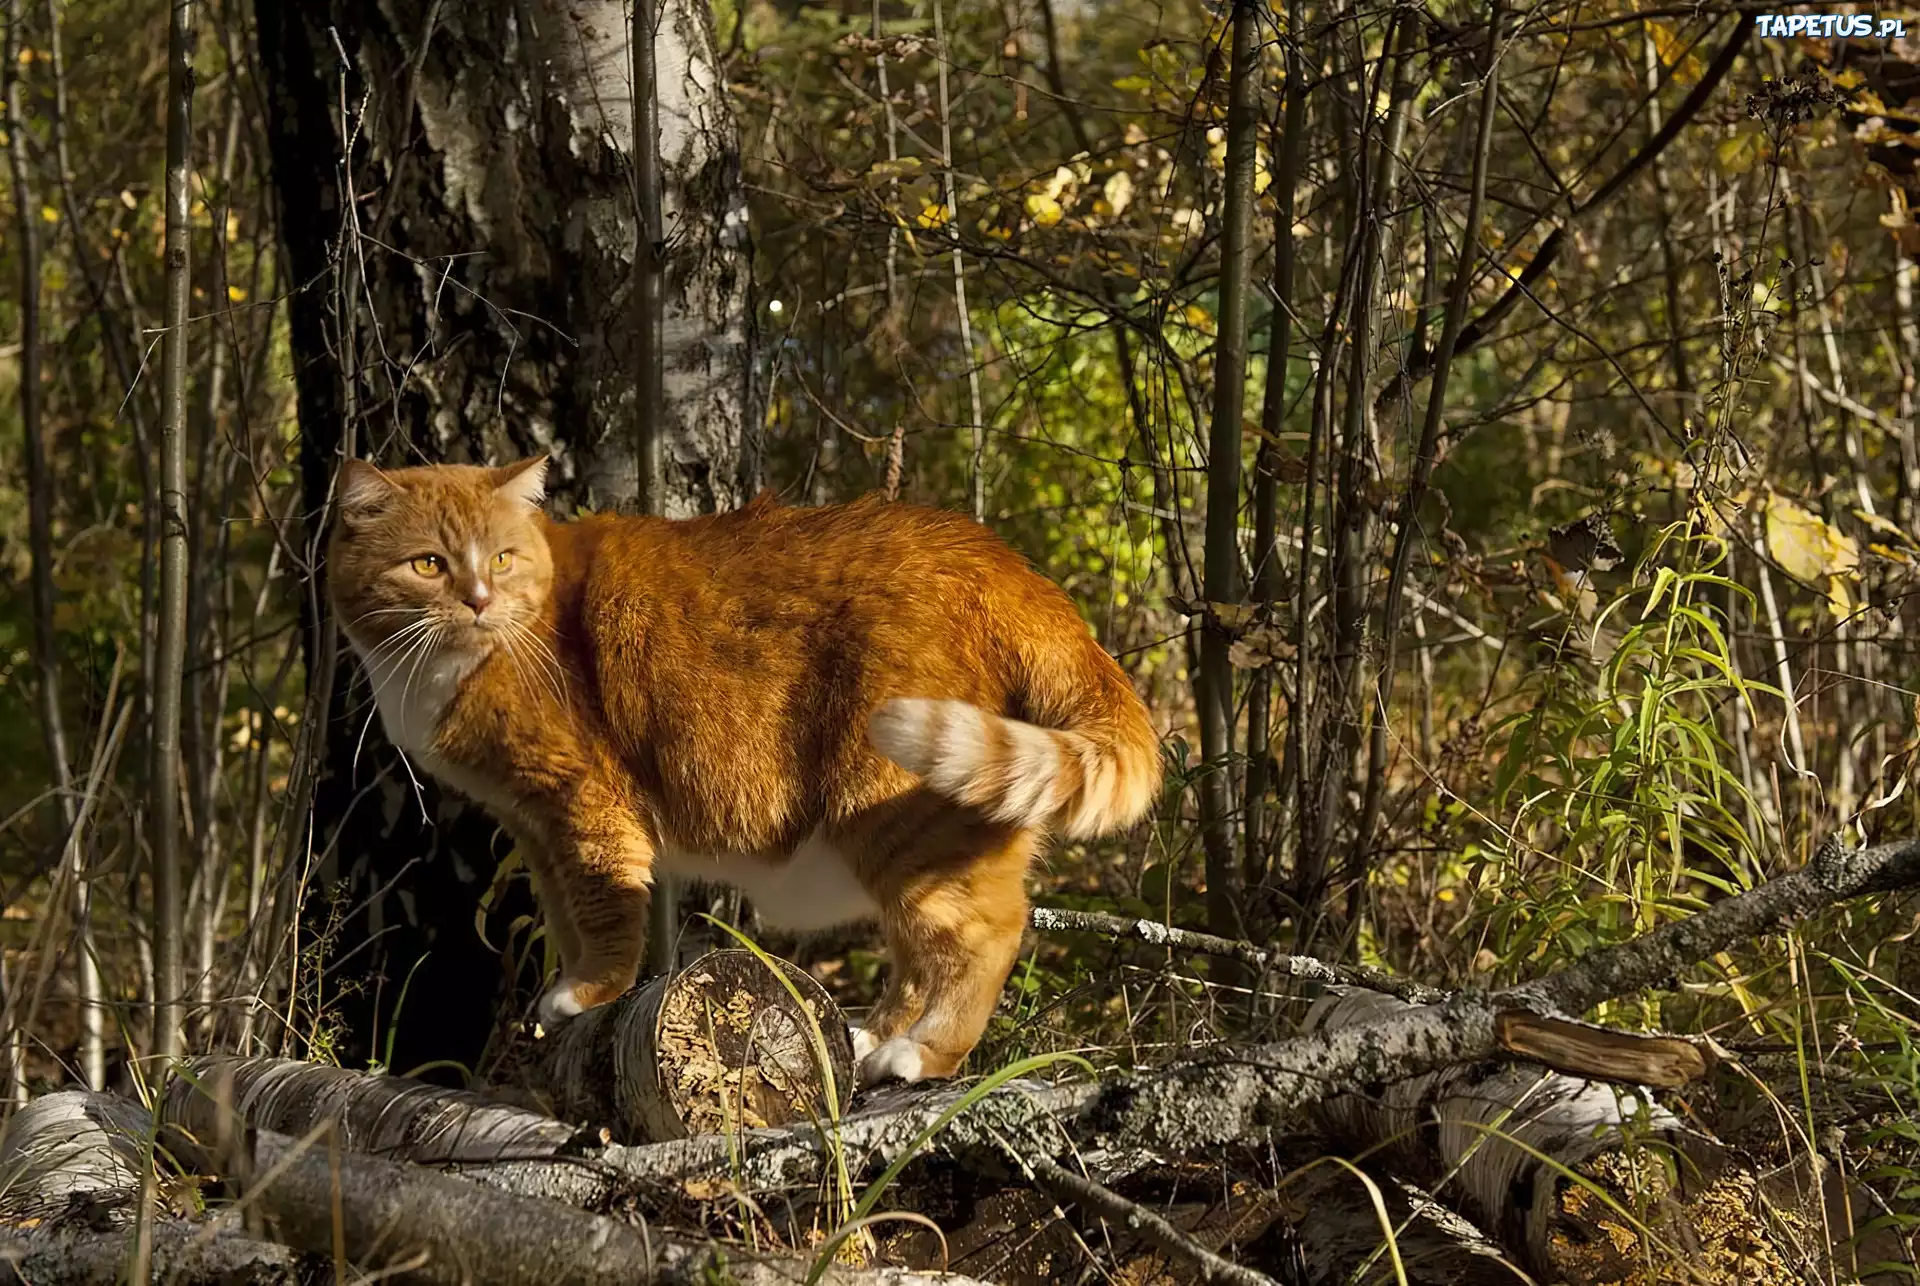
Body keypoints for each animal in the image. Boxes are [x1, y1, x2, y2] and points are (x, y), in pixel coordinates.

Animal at [326, 458, 1152, 1082]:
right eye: (428, 564)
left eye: (500, 558)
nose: (477, 599)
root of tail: (1002, 562)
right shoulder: (532, 825)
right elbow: (562, 915)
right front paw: (570, 988)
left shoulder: (583, 806)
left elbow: (602, 910)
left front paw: (591, 991)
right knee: (920, 948)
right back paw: (873, 1038)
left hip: (902, 808)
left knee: (986, 933)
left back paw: (921, 1054)